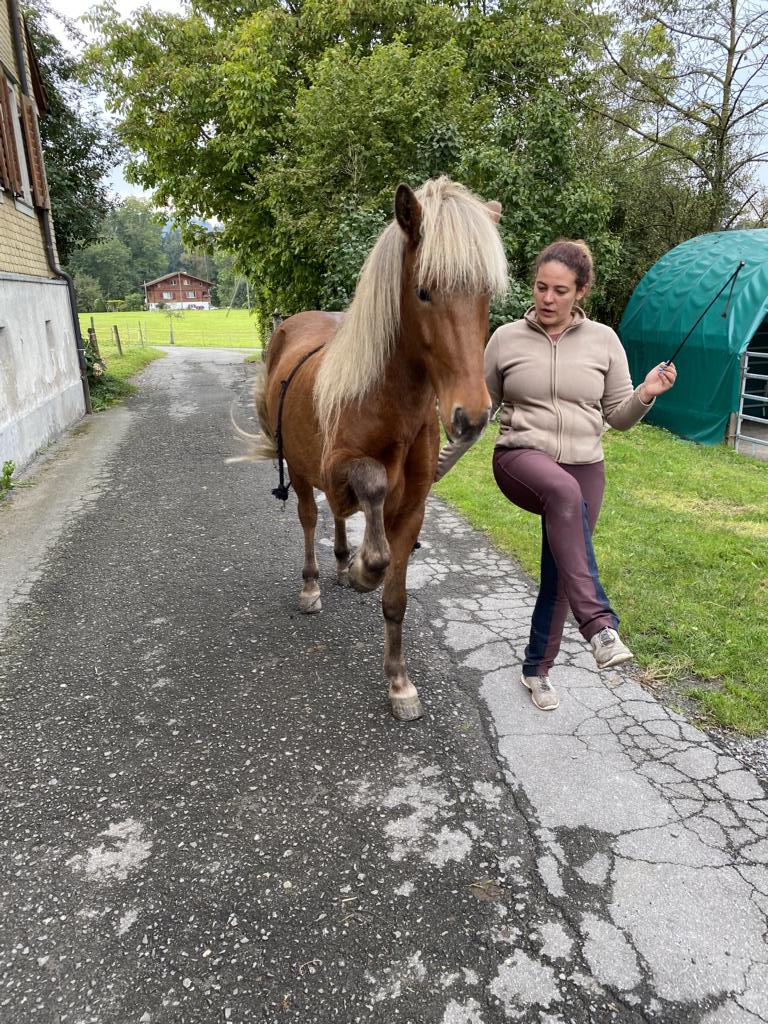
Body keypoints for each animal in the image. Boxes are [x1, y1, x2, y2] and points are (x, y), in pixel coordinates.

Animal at [252, 177, 507, 721]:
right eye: (423, 291)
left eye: (484, 295)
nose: (472, 417)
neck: (386, 402)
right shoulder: (341, 469)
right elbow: (371, 492)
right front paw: (363, 569)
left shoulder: (412, 510)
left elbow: (396, 597)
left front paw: (399, 682)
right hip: (300, 473)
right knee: (311, 518)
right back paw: (314, 583)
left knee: (337, 517)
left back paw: (342, 560)